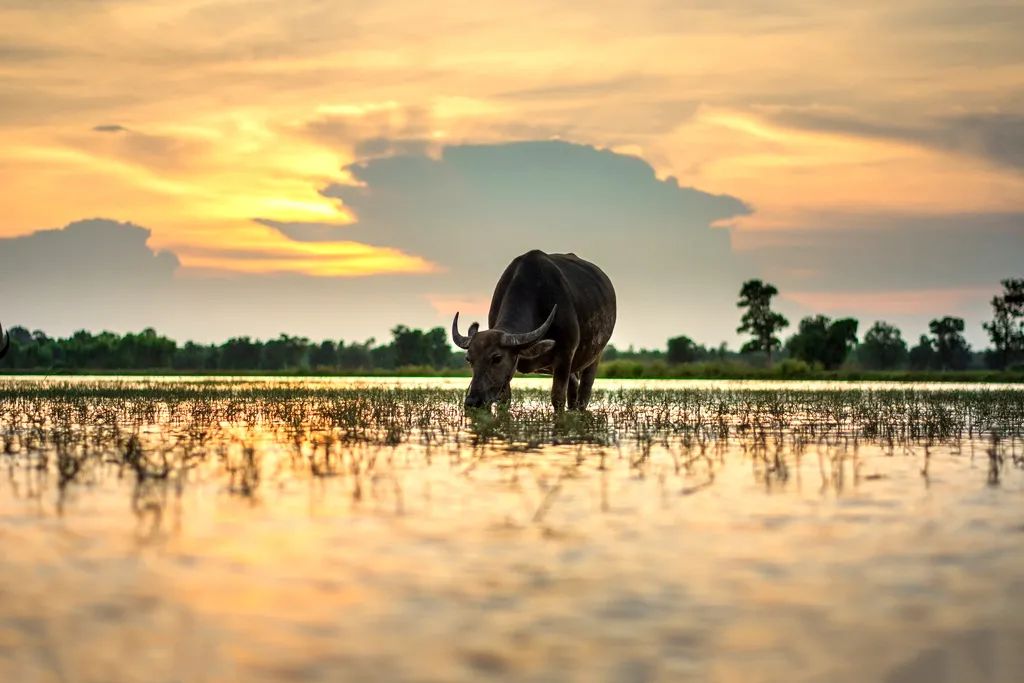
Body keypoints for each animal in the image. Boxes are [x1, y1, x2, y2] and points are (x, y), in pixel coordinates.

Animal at [450, 250, 614, 411]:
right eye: (468, 359)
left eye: (497, 358)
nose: (472, 401)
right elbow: (504, 401)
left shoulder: (565, 354)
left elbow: (558, 398)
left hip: (594, 357)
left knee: (584, 393)